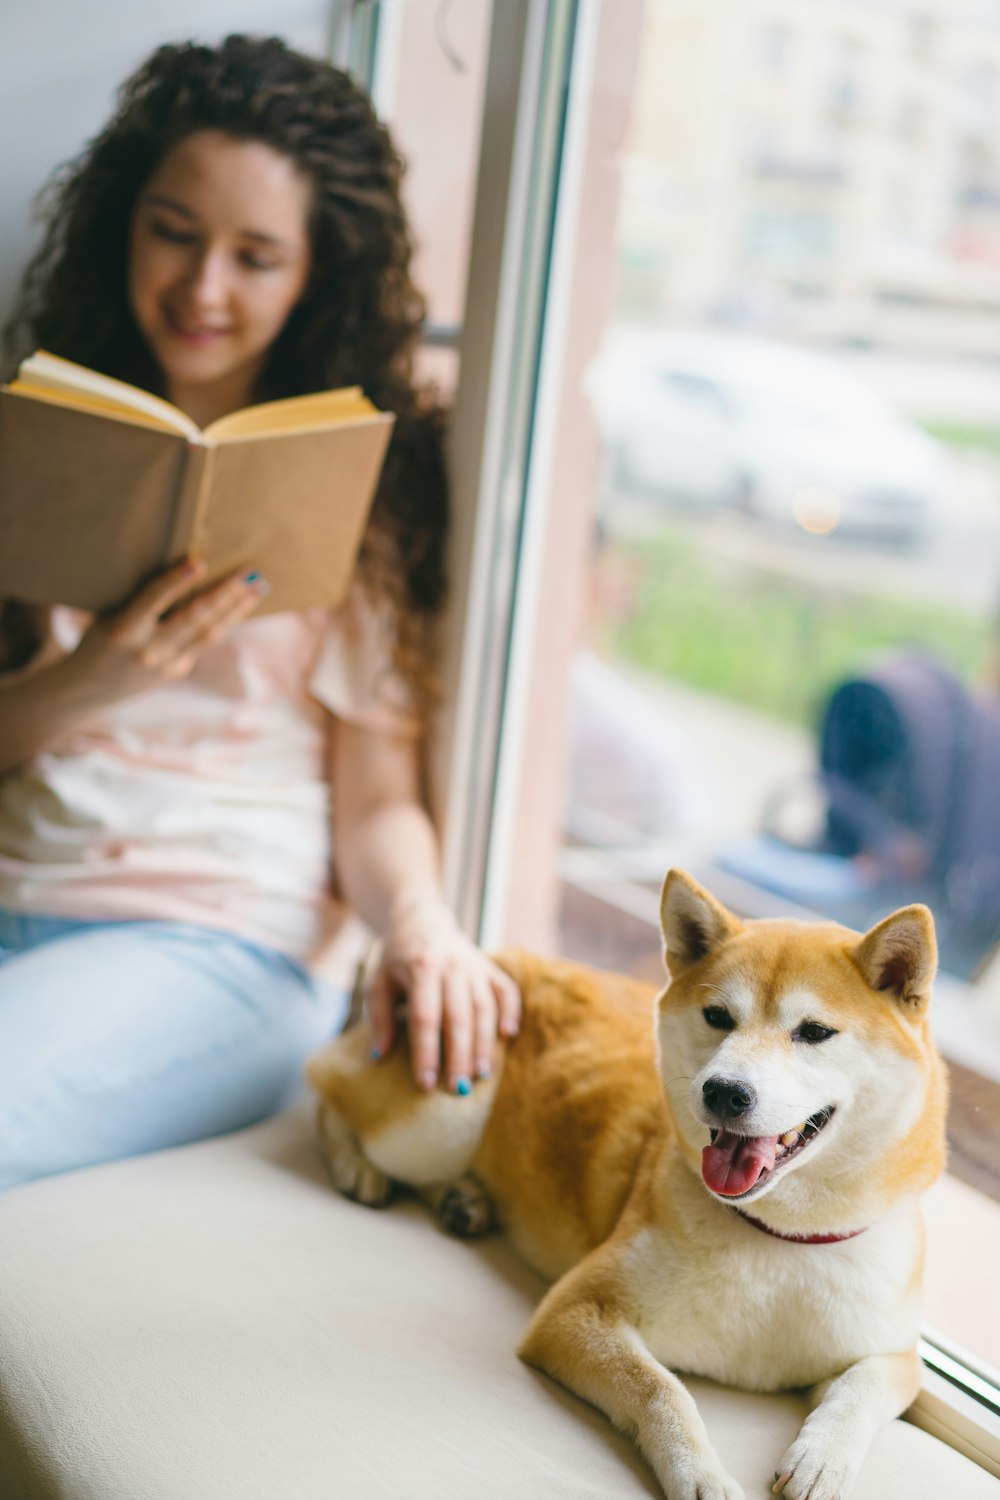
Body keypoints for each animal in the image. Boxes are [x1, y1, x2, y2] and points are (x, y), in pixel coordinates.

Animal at [308, 870, 953, 1500]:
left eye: (815, 1032)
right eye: (718, 1017)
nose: (724, 1091)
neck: (775, 1237)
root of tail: (491, 956)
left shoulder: (896, 1355)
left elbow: (860, 1390)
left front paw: (823, 1459)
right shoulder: (575, 1311)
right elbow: (660, 1388)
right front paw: (698, 1474)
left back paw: (461, 1198)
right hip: (440, 1120)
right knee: (324, 1087)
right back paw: (358, 1167)